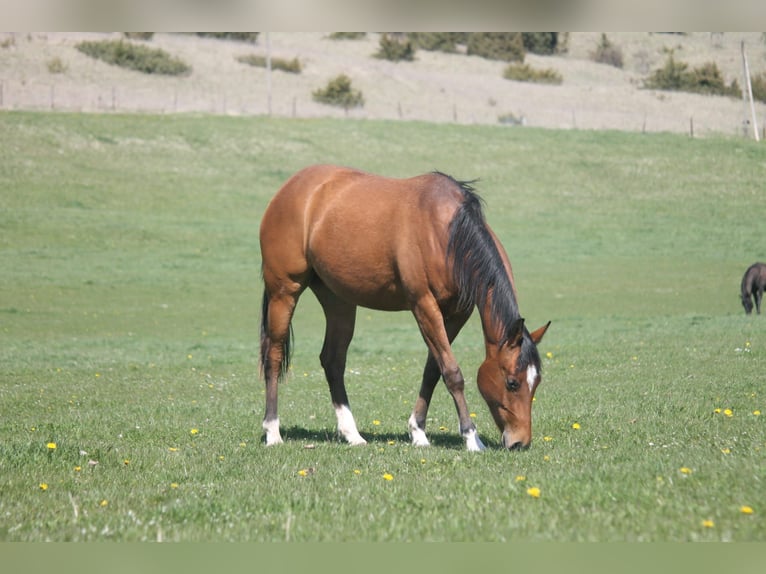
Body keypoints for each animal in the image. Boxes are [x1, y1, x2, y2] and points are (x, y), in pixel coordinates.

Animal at [259, 164, 550, 451]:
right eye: (512, 383)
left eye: (536, 381)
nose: (520, 442)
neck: (448, 234)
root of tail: (291, 188)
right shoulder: (424, 305)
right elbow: (452, 372)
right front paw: (471, 438)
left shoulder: (457, 313)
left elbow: (433, 370)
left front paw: (418, 432)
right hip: (284, 292)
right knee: (274, 356)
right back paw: (273, 431)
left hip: (338, 301)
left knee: (333, 360)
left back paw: (352, 434)